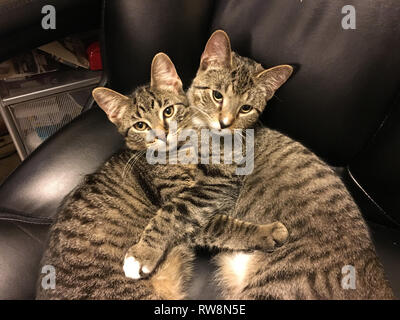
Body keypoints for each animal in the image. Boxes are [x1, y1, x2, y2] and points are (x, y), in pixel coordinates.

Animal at [36, 52, 290, 300]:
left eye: (168, 111)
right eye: (140, 125)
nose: (162, 134)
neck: (184, 151)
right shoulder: (188, 206)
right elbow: (209, 223)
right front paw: (267, 232)